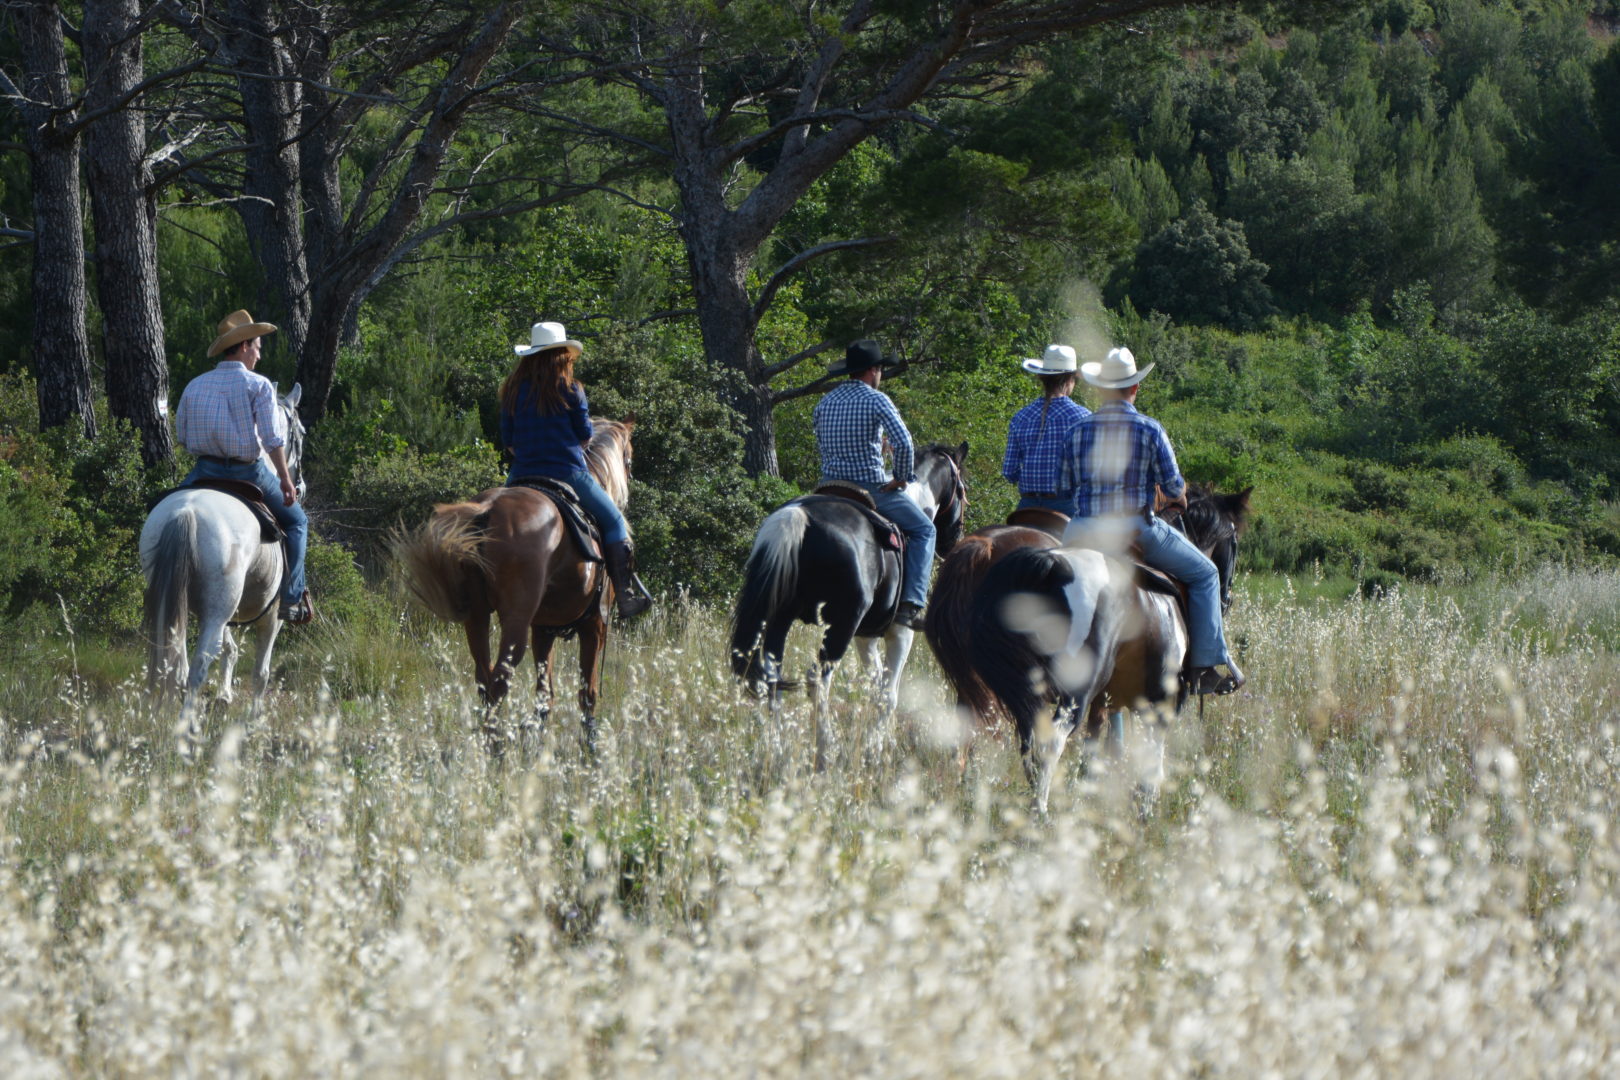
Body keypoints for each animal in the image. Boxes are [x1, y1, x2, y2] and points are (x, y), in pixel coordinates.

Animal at [140, 382, 306, 735]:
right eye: (300, 432)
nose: (298, 487)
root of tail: (186, 512)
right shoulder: (271, 617)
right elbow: (261, 671)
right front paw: (255, 718)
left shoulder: (227, 608)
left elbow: (231, 649)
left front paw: (225, 696)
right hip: (219, 608)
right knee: (199, 664)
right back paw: (187, 726)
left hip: (196, 604)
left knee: (178, 661)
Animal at [392, 414, 638, 751]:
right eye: (629, 458)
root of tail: (488, 509)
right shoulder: (595, 624)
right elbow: (587, 692)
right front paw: (590, 744)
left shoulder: (544, 629)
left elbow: (545, 690)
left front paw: (538, 735)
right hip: (516, 624)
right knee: (498, 681)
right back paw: (495, 747)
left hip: (477, 617)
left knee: (483, 679)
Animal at [729, 440, 965, 767]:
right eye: (962, 490)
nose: (954, 539)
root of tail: (797, 518)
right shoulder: (899, 632)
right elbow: (889, 694)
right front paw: (874, 749)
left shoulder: (865, 636)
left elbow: (876, 687)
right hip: (841, 624)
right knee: (817, 681)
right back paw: (825, 750)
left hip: (779, 620)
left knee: (770, 679)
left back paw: (777, 752)